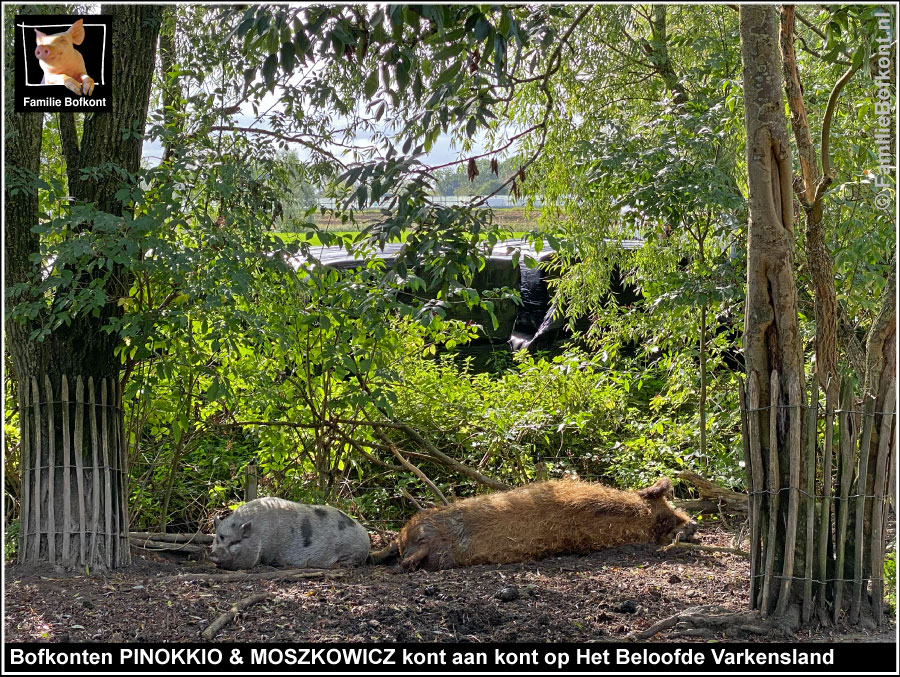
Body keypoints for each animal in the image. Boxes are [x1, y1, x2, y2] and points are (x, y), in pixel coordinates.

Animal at [208, 494, 370, 568]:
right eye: (217, 539)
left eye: (235, 542)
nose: (214, 555)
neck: (259, 534)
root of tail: (366, 534)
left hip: (353, 551)